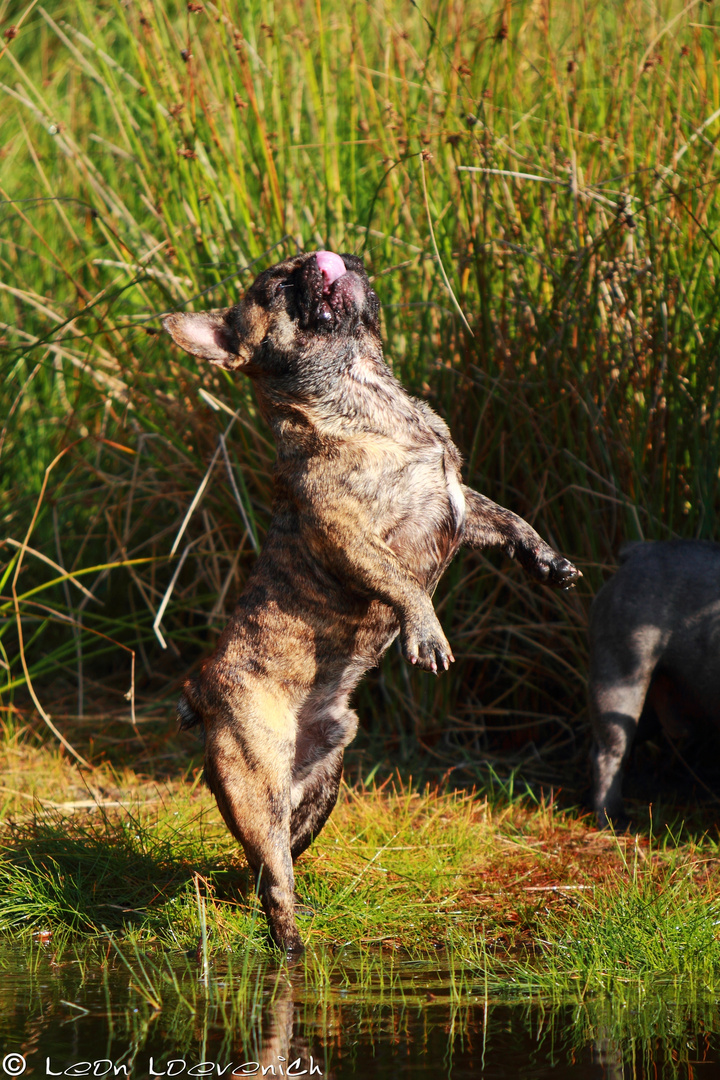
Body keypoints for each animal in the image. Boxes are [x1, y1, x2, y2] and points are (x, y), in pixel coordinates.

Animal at [162, 250, 578, 954]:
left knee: (274, 861)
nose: (311, 257)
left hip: (320, 789)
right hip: (255, 783)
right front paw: (426, 633)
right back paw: (290, 945)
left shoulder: (462, 506)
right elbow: (403, 584)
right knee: (274, 877)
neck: (364, 388)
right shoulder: (350, 535)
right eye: (275, 287)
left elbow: (511, 520)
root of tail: (200, 688)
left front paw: (548, 559)